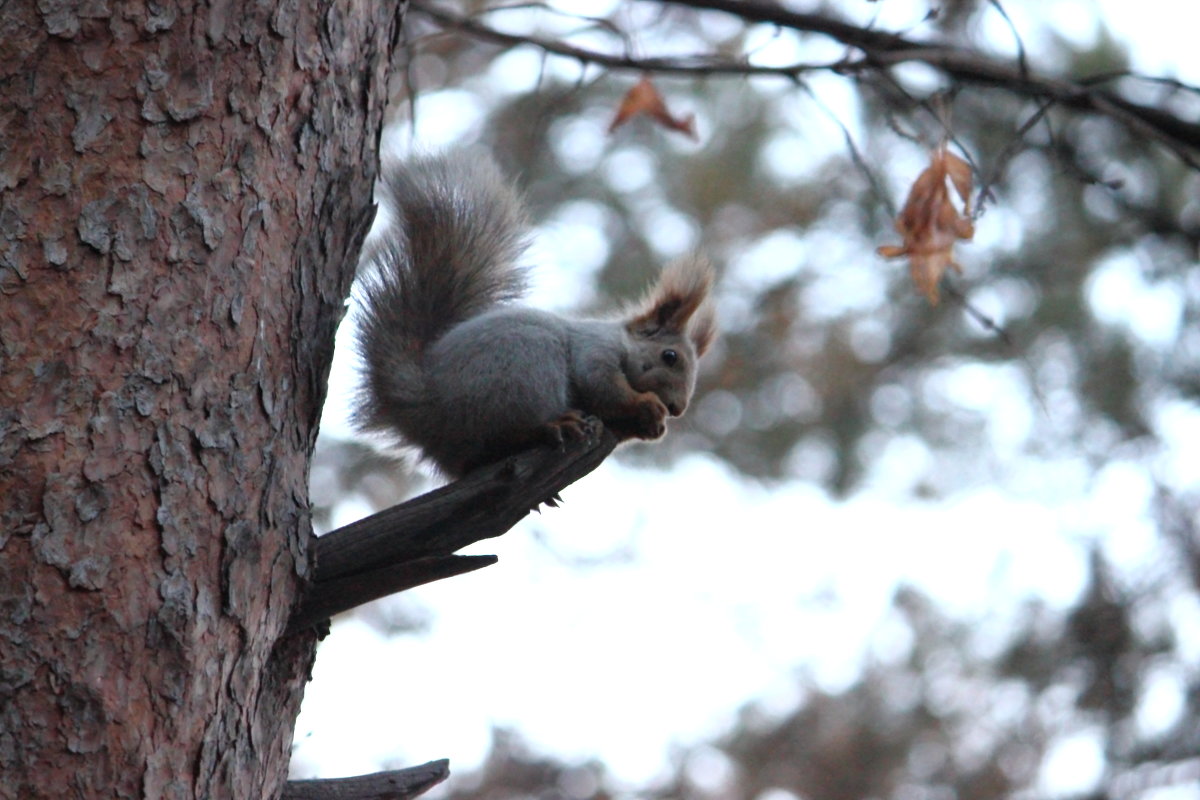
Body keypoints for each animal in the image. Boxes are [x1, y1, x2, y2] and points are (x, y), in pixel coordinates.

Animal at [350, 151, 715, 479]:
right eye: (670, 356)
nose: (677, 409)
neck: (621, 339)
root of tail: (426, 407)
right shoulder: (594, 348)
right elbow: (603, 385)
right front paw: (646, 405)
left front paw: (652, 425)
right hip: (525, 370)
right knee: (505, 433)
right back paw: (552, 426)